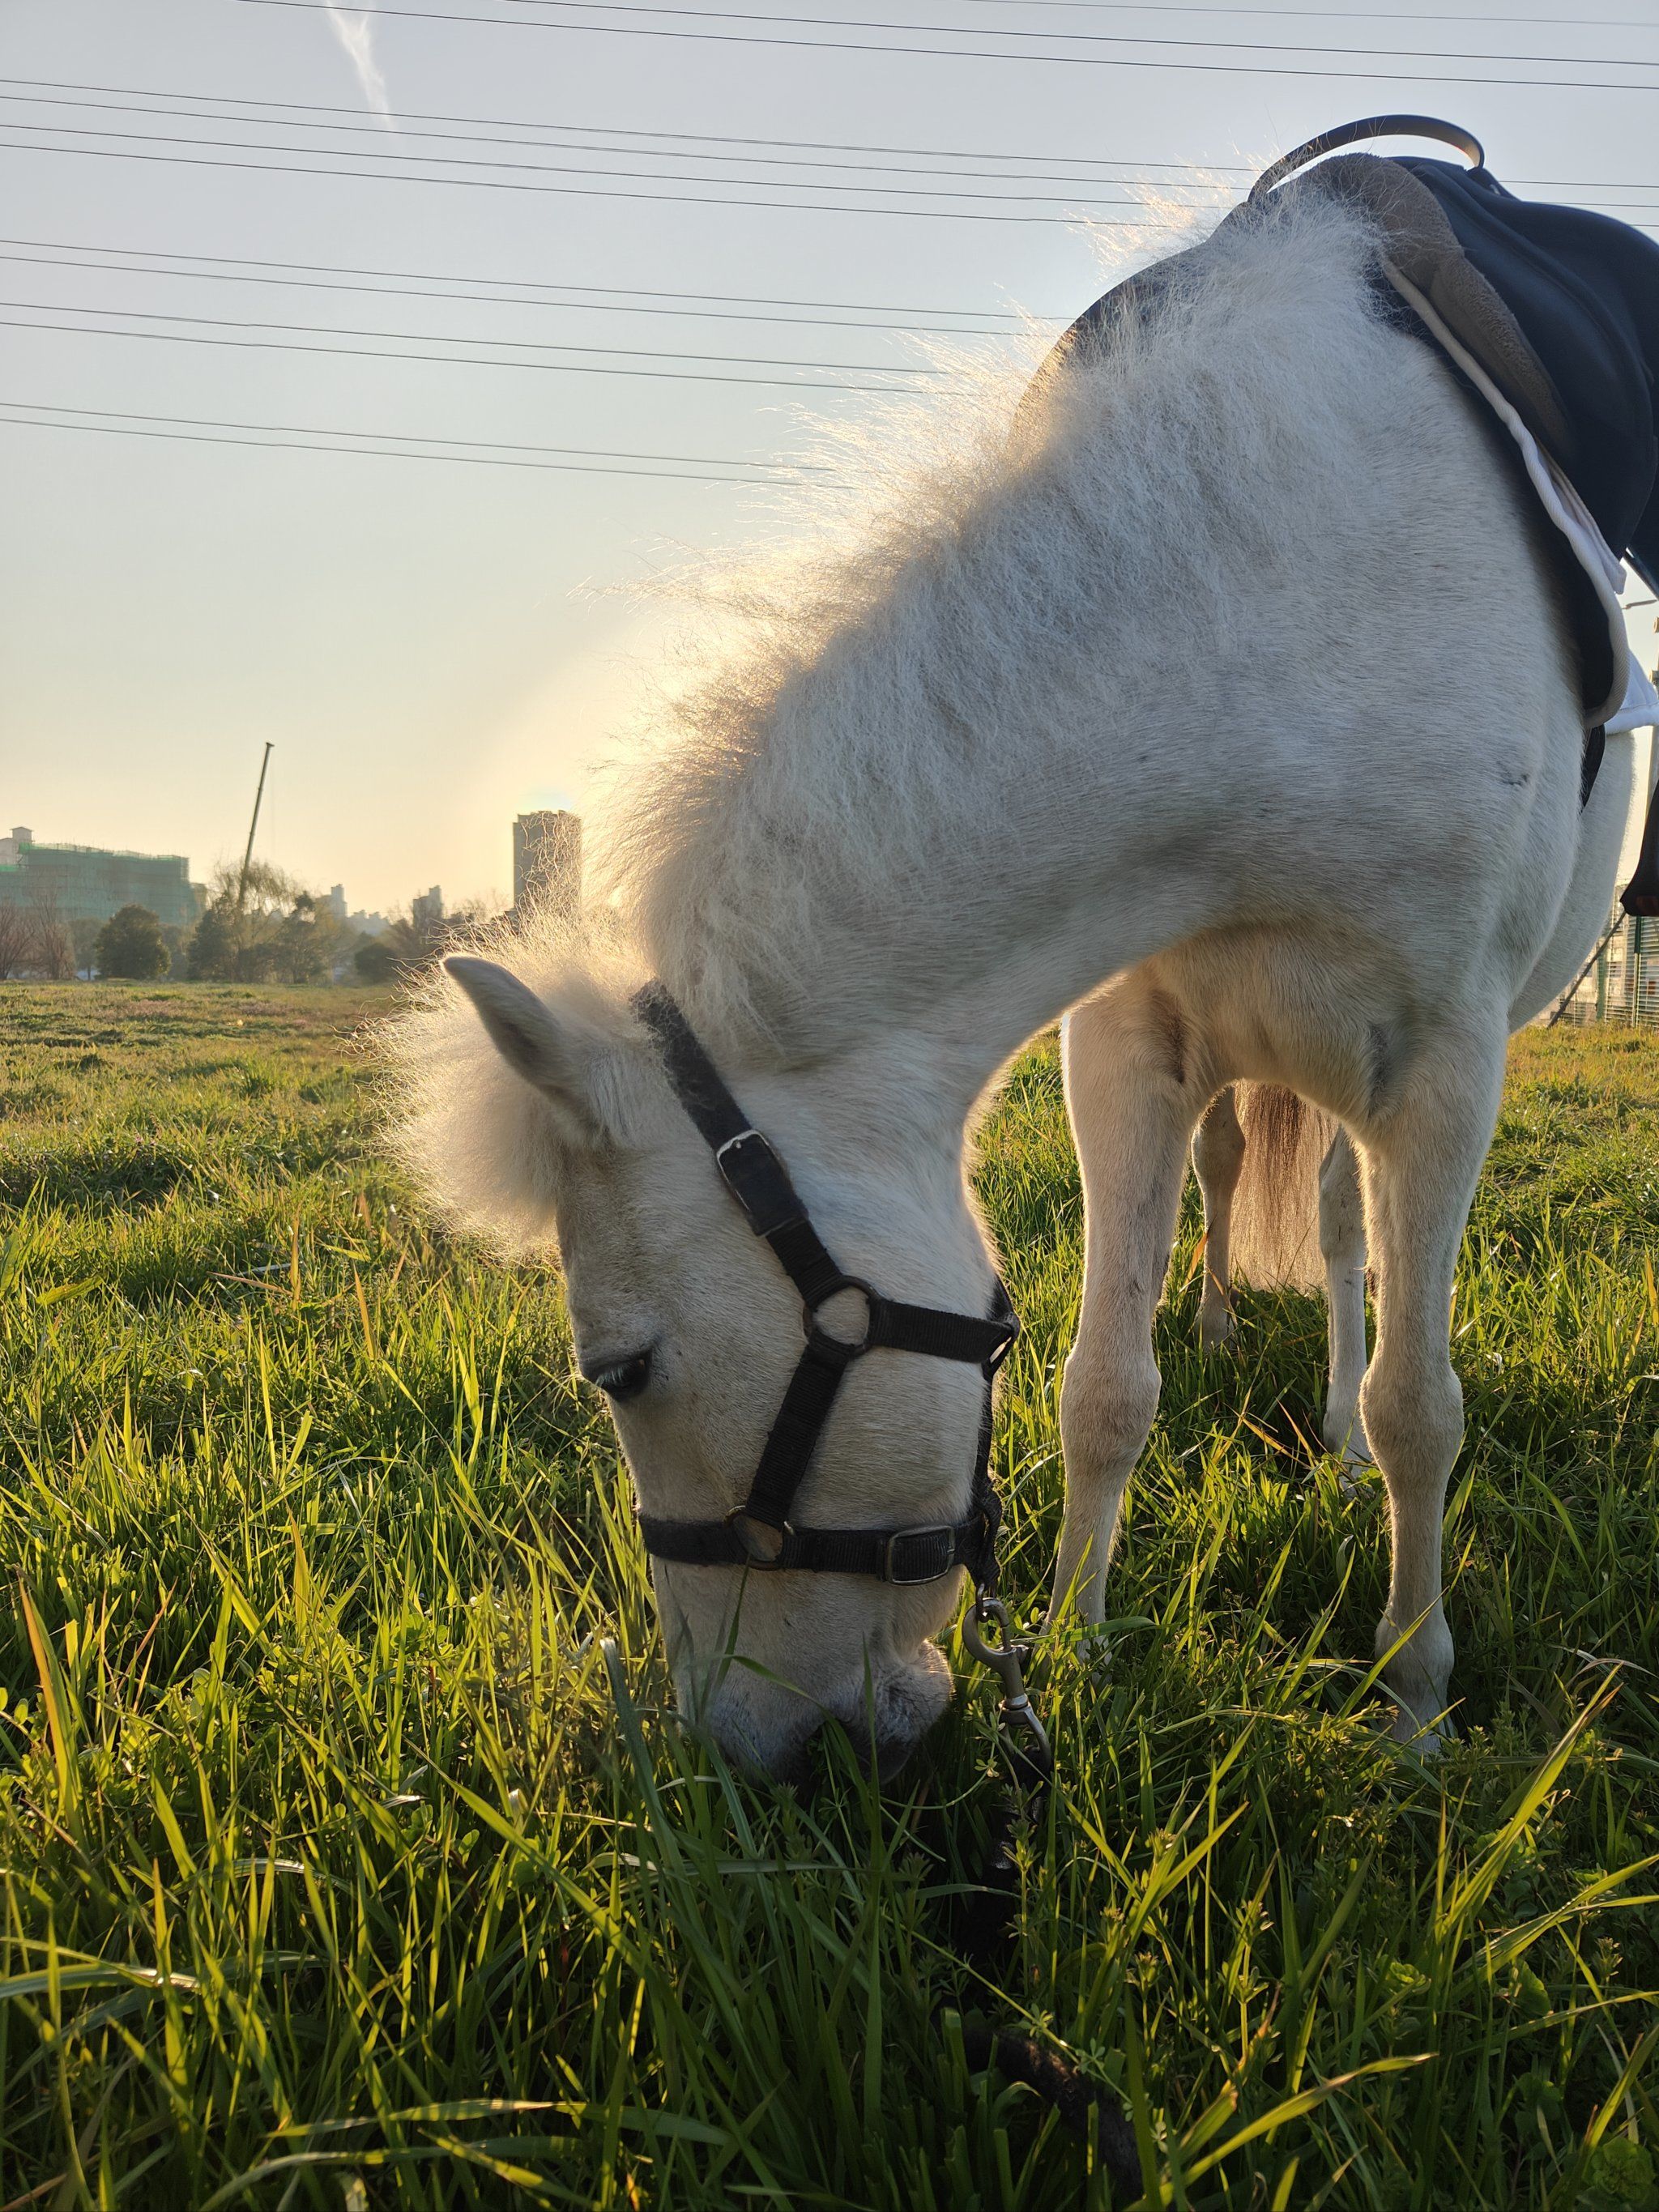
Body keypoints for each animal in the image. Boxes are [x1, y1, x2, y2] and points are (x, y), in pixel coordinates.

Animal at [392, 180, 1639, 1779]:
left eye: (618, 1371)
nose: (753, 1741)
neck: (1283, 627)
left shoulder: (1442, 1066)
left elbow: (1422, 1404)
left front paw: (1412, 1695)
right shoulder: (1124, 1048)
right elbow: (1101, 1387)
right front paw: (1077, 1642)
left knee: (1348, 1242)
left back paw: (1338, 1438)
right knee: (1238, 1181)